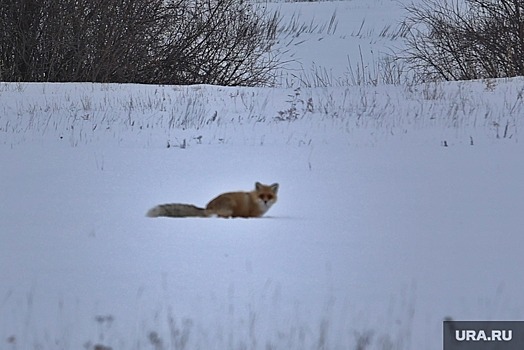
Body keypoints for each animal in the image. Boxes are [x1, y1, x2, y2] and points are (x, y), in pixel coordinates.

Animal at [146, 182, 278, 217]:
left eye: (269, 196)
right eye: (261, 196)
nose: (266, 201)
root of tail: (207, 207)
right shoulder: (253, 216)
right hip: (229, 206)